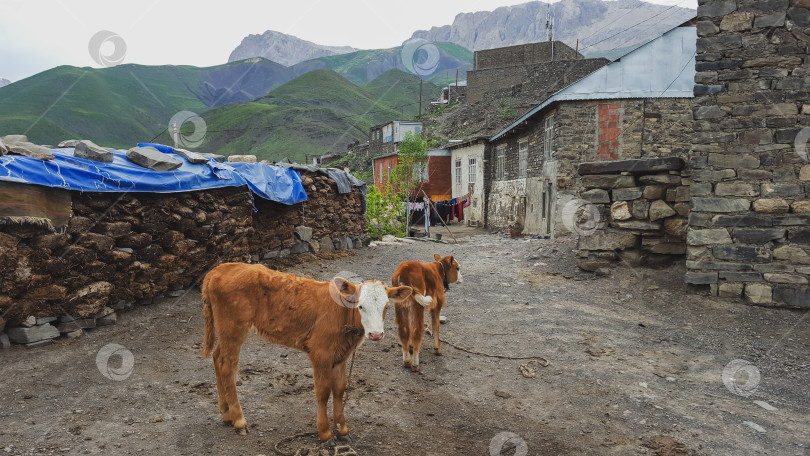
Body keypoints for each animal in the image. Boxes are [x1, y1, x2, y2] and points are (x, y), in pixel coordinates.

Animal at [202, 264, 410, 442]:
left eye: (387, 306)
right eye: (360, 306)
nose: (376, 334)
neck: (341, 314)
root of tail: (220, 269)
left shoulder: (341, 356)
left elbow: (339, 389)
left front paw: (342, 429)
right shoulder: (320, 353)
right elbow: (323, 391)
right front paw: (325, 432)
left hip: (227, 332)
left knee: (217, 357)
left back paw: (226, 413)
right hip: (233, 328)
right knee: (227, 366)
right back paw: (238, 419)